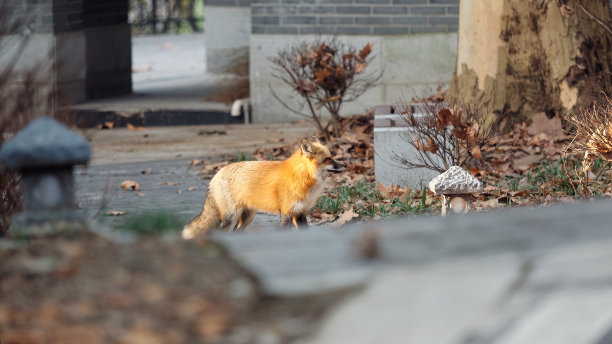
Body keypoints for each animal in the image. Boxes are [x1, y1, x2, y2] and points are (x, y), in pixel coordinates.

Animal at [182, 136, 344, 238]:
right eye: (328, 159)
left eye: (332, 156)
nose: (345, 164)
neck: (303, 178)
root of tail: (217, 173)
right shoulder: (286, 213)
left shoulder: (300, 213)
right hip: (230, 216)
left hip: (247, 217)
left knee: (236, 232)